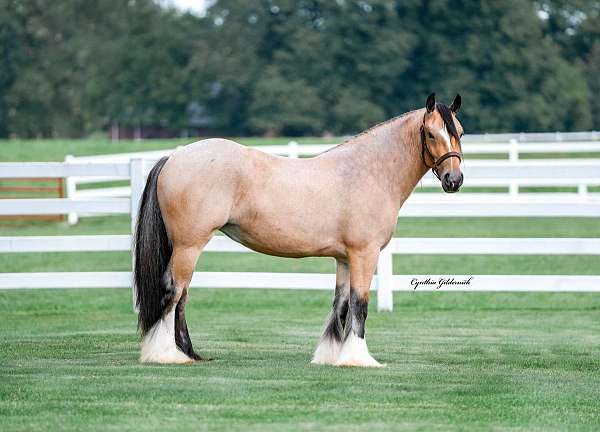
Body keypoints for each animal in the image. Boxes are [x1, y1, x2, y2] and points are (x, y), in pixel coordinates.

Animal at [135, 93, 464, 366]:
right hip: (188, 246)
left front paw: (330, 356)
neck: (367, 172)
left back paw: (188, 352)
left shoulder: (344, 258)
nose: (454, 180)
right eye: (431, 133)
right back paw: (165, 354)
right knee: (173, 291)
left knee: (182, 296)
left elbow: (341, 304)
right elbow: (360, 305)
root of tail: (173, 158)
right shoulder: (364, 253)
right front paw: (358, 358)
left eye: (459, 132)